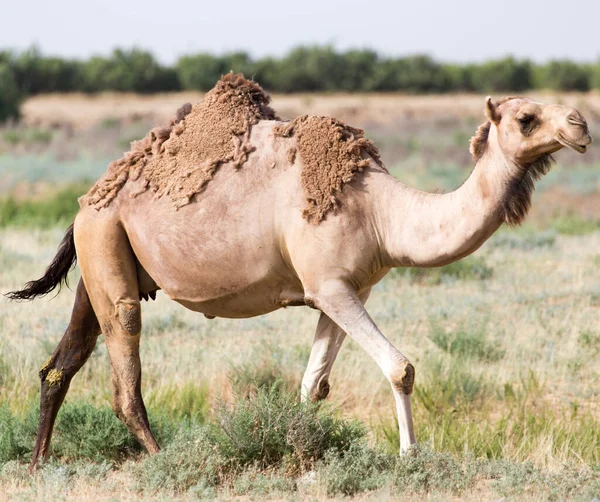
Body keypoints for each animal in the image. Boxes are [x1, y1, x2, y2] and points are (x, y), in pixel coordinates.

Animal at [8, 74, 592, 470]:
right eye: (525, 118)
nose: (581, 124)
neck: (381, 211)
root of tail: (89, 198)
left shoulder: (346, 290)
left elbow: (314, 384)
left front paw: (298, 452)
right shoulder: (330, 285)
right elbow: (399, 367)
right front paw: (409, 457)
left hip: (101, 256)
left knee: (61, 364)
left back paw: (38, 464)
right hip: (106, 242)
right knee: (124, 363)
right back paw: (162, 458)